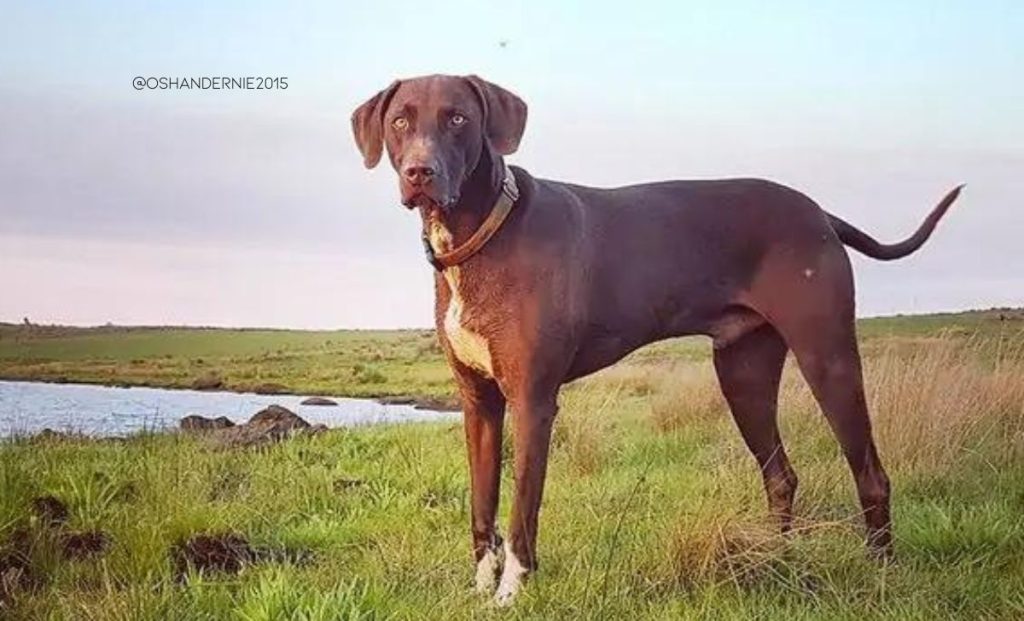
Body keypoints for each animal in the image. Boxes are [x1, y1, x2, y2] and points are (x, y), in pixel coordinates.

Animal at [350, 75, 958, 606]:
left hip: (826, 355)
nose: (420, 171)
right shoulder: (478, 403)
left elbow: (522, 507)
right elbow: (482, 502)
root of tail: (819, 212)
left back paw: (879, 569)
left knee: (871, 473)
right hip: (744, 374)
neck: (484, 233)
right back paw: (776, 556)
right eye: (401, 120)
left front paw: (511, 591)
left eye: (458, 118)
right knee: (781, 475)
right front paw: (480, 586)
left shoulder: (532, 401)